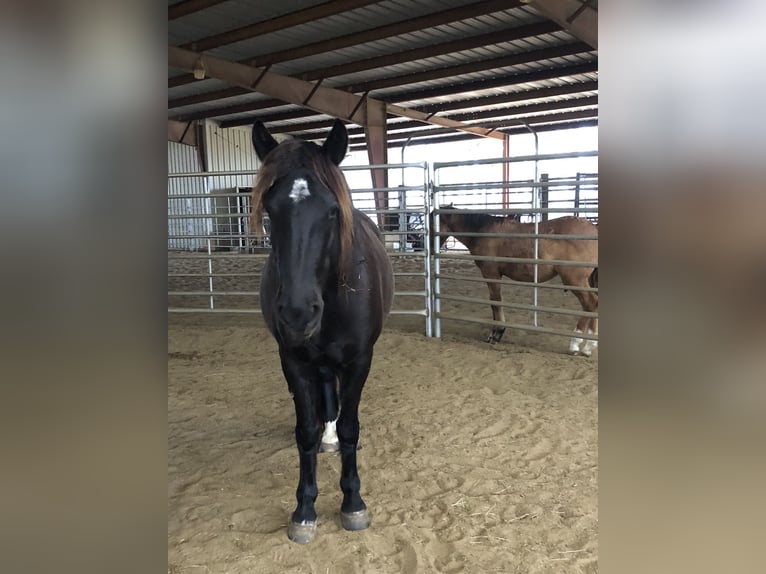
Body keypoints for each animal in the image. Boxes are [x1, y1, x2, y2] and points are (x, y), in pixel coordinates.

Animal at [249, 119, 394, 544]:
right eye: (269, 210)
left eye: (331, 211)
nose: (297, 313)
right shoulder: (294, 360)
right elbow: (306, 432)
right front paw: (304, 509)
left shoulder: (360, 360)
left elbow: (350, 428)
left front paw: (353, 503)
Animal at [436, 205, 598, 355]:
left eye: (433, 222)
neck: (482, 231)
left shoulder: (491, 274)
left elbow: (495, 302)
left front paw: (496, 333)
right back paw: (589, 347)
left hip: (574, 280)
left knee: (590, 303)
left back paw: (575, 344)